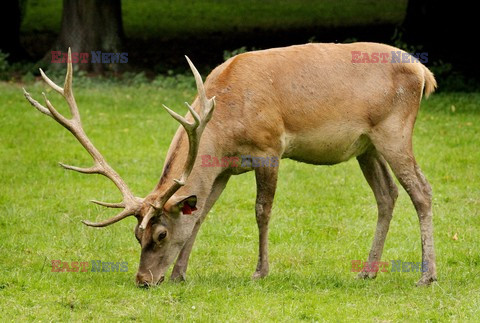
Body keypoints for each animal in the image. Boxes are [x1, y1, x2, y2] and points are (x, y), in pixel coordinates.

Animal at [24, 42, 436, 286]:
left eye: (159, 235)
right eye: (137, 235)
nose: (142, 280)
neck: (222, 125)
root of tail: (424, 73)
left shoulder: (270, 148)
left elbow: (262, 211)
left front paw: (260, 271)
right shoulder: (221, 169)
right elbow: (201, 213)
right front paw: (180, 273)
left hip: (395, 131)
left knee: (422, 190)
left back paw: (426, 276)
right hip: (366, 146)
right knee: (387, 195)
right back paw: (367, 271)